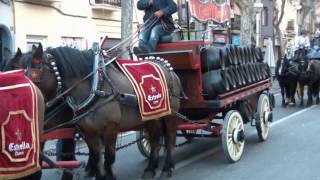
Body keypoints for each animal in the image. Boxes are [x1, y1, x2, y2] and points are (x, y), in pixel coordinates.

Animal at [19, 44, 185, 180]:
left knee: (170, 138)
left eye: (33, 77)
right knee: (155, 139)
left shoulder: (111, 128)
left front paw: (109, 176)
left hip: (170, 115)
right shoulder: (88, 131)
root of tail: (168, 68)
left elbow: (109, 158)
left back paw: (166, 167)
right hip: (151, 116)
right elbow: (97, 157)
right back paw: (150, 168)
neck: (95, 87)